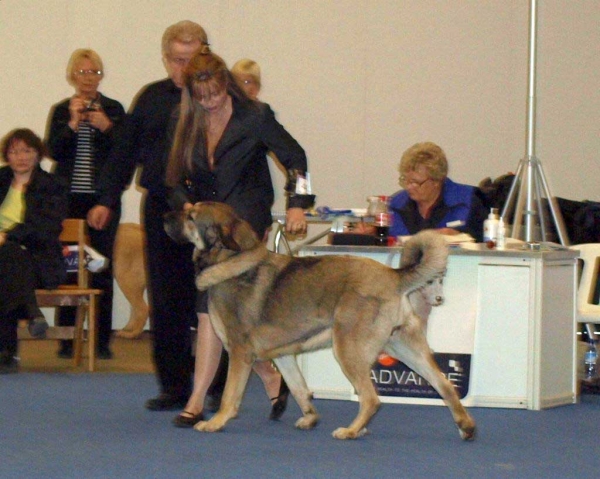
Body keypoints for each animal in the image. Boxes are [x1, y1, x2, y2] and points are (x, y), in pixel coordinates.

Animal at [163, 202, 474, 442]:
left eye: (191, 216)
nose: (165, 215)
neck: (229, 260)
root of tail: (394, 276)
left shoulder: (240, 354)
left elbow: (230, 395)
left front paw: (215, 422)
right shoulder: (284, 355)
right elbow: (299, 388)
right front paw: (310, 417)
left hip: (348, 350)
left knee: (371, 399)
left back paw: (351, 431)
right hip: (406, 349)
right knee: (445, 386)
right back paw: (466, 427)